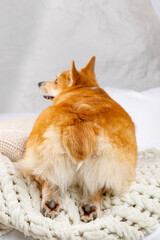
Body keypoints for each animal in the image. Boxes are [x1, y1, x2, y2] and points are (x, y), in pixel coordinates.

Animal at [18, 57, 136, 222]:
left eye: (56, 81)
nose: (39, 83)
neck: (83, 87)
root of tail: (80, 121)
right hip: (106, 164)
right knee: (96, 187)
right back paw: (88, 207)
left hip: (40, 156)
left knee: (46, 179)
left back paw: (50, 203)